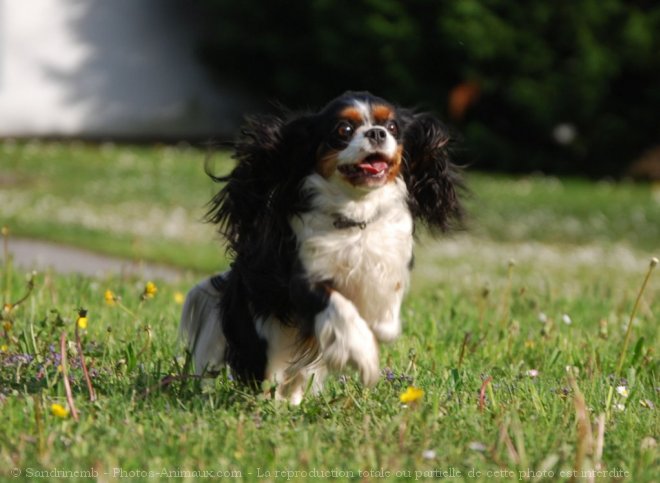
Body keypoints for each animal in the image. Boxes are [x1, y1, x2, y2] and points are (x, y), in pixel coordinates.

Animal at [178, 91, 462, 404]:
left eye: (392, 127)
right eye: (344, 130)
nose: (377, 133)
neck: (355, 216)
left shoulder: (387, 256)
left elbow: (387, 295)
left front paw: (384, 327)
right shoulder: (302, 278)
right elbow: (339, 306)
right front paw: (364, 355)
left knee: (298, 375)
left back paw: (292, 402)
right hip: (262, 328)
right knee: (268, 372)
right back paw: (272, 402)